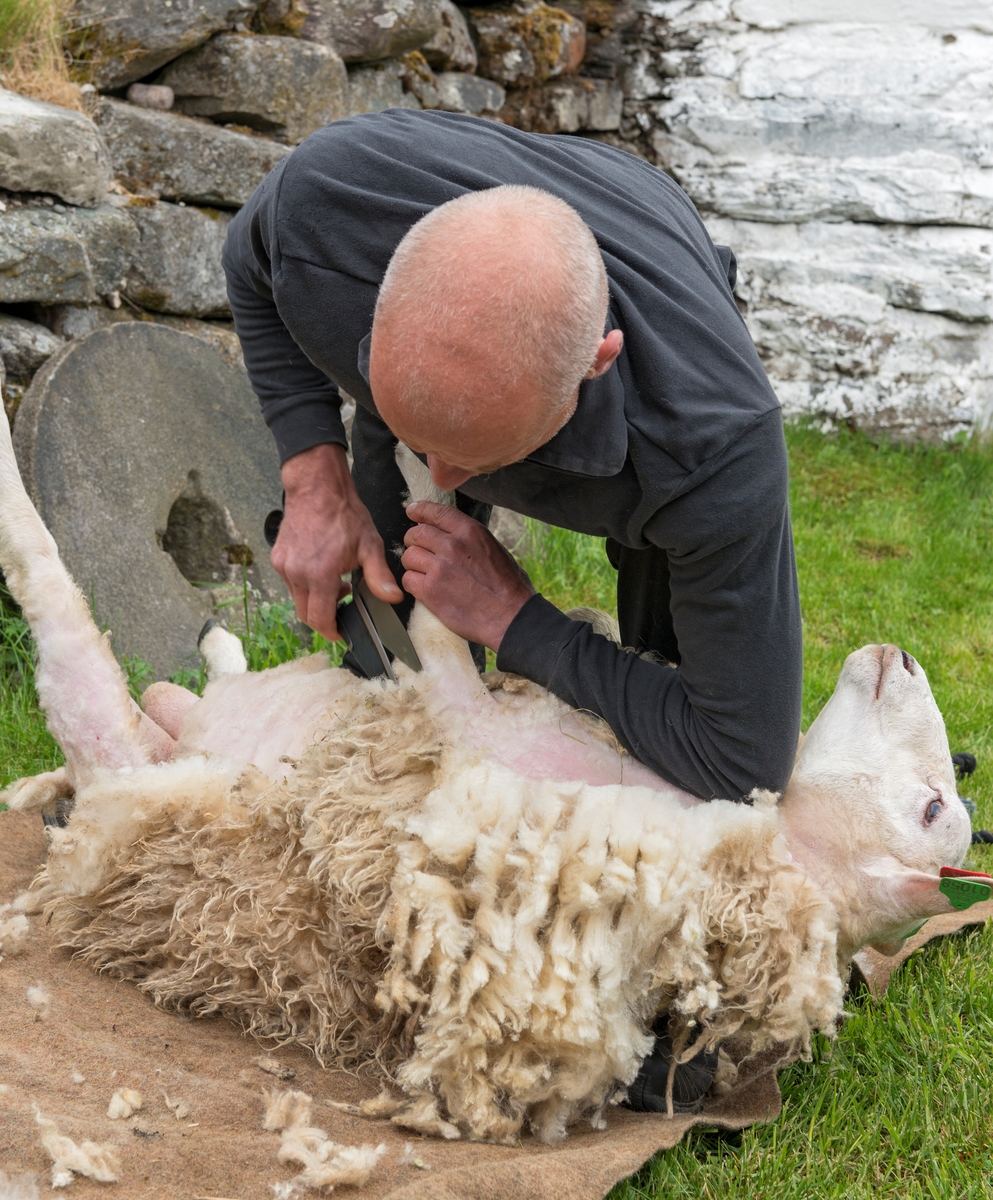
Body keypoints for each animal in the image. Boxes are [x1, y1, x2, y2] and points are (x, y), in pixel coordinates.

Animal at [0, 410, 969, 1142]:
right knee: (193, 685)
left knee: (50, 589)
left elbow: (435, 625)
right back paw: (214, 648)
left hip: (108, 741)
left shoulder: (465, 713)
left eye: (931, 811)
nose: (904, 656)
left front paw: (426, 487)